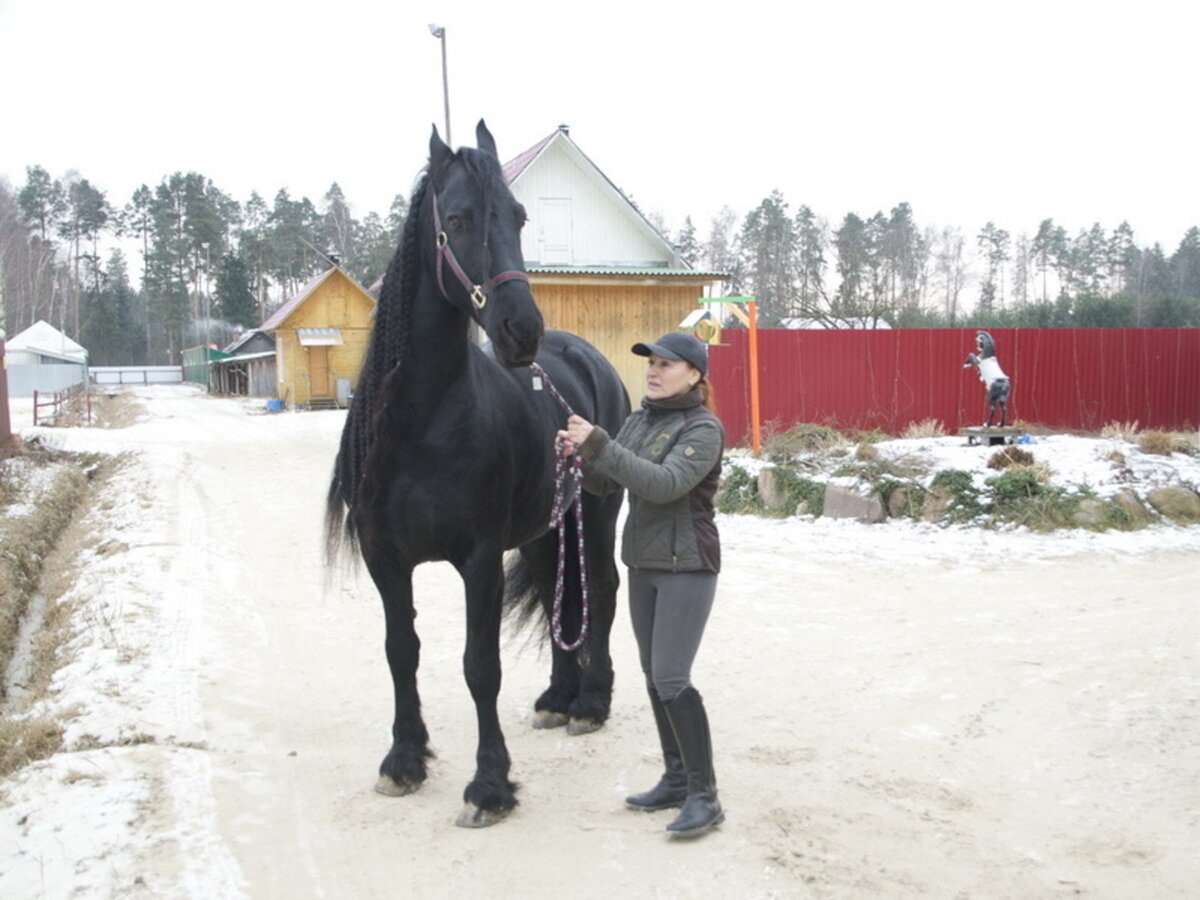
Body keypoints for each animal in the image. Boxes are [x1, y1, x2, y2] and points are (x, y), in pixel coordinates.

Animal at [325, 120, 629, 827]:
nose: (521, 330)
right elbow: (400, 652)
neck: (421, 423)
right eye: (458, 219)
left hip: (598, 513)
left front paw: (488, 786)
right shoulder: (385, 558)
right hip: (550, 527)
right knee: (561, 596)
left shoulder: (480, 558)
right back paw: (557, 698)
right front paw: (404, 761)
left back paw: (590, 703)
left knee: (601, 592)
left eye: (519, 216)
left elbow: (479, 666)